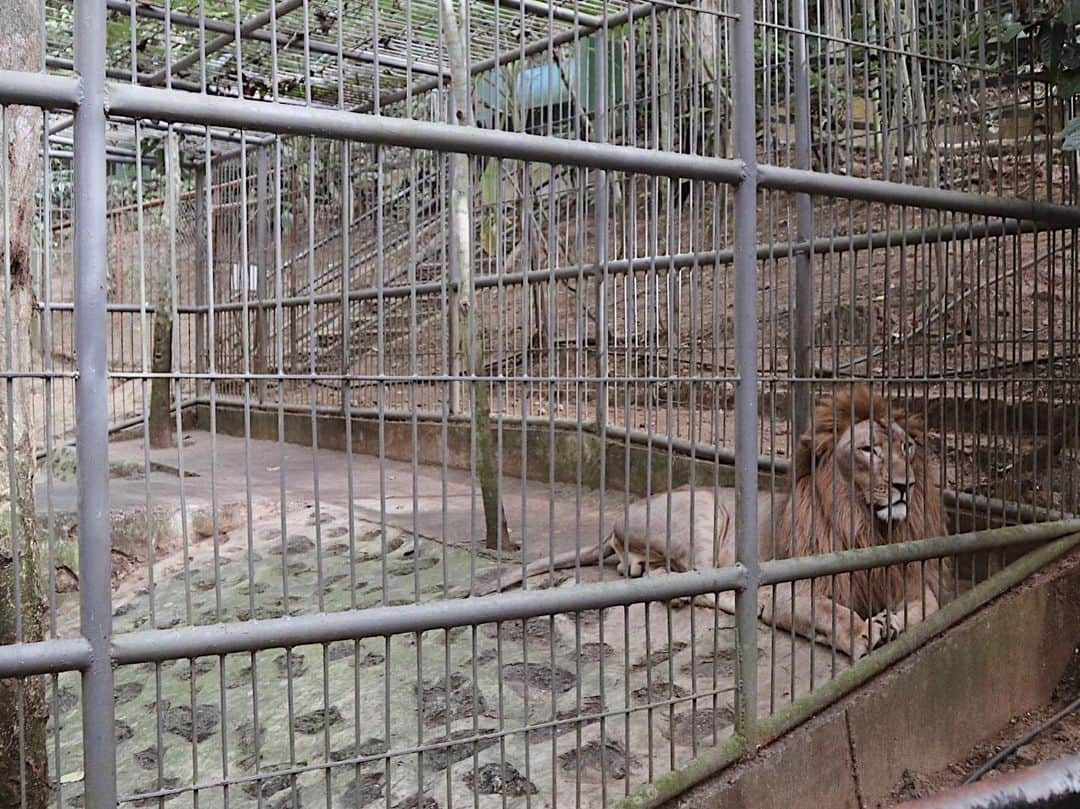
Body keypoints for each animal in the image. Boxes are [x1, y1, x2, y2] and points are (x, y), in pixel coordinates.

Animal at [477, 384, 950, 656]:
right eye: (869, 450)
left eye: (908, 446)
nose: (905, 486)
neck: (868, 523)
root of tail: (614, 522)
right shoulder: (796, 587)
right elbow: (831, 613)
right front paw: (862, 632)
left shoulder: (909, 581)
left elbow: (926, 608)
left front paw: (892, 622)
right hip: (704, 509)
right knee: (708, 582)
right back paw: (745, 603)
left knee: (660, 575)